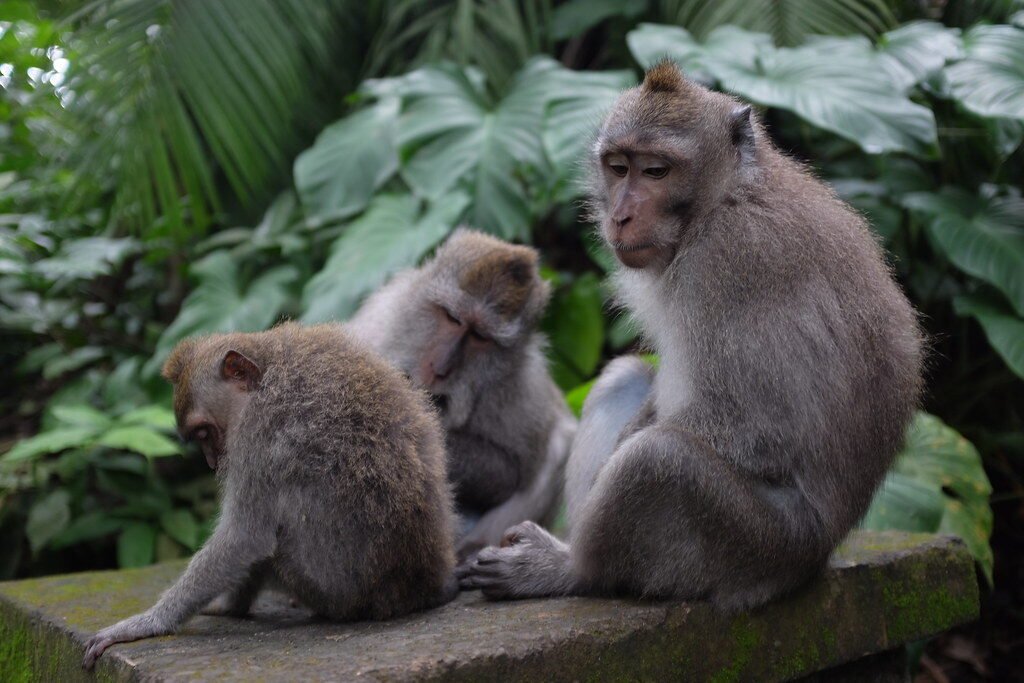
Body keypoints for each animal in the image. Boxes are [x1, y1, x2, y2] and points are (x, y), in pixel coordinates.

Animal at [83, 322, 456, 669]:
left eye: (204, 432)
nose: (212, 462)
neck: (268, 372)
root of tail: (414, 591)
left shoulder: (257, 435)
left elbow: (244, 537)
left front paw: (149, 622)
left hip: (328, 594)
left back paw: (234, 606)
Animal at [347, 229, 576, 563]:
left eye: (480, 337)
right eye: (452, 318)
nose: (440, 367)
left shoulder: (524, 386)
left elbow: (510, 471)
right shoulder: (377, 324)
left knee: (561, 442)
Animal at [458, 61, 924, 612]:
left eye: (656, 171)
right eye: (619, 167)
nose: (620, 216)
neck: (725, 198)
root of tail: (819, 555)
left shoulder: (728, 261)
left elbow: (755, 427)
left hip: (760, 547)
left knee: (661, 459)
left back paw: (572, 570)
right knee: (623, 378)